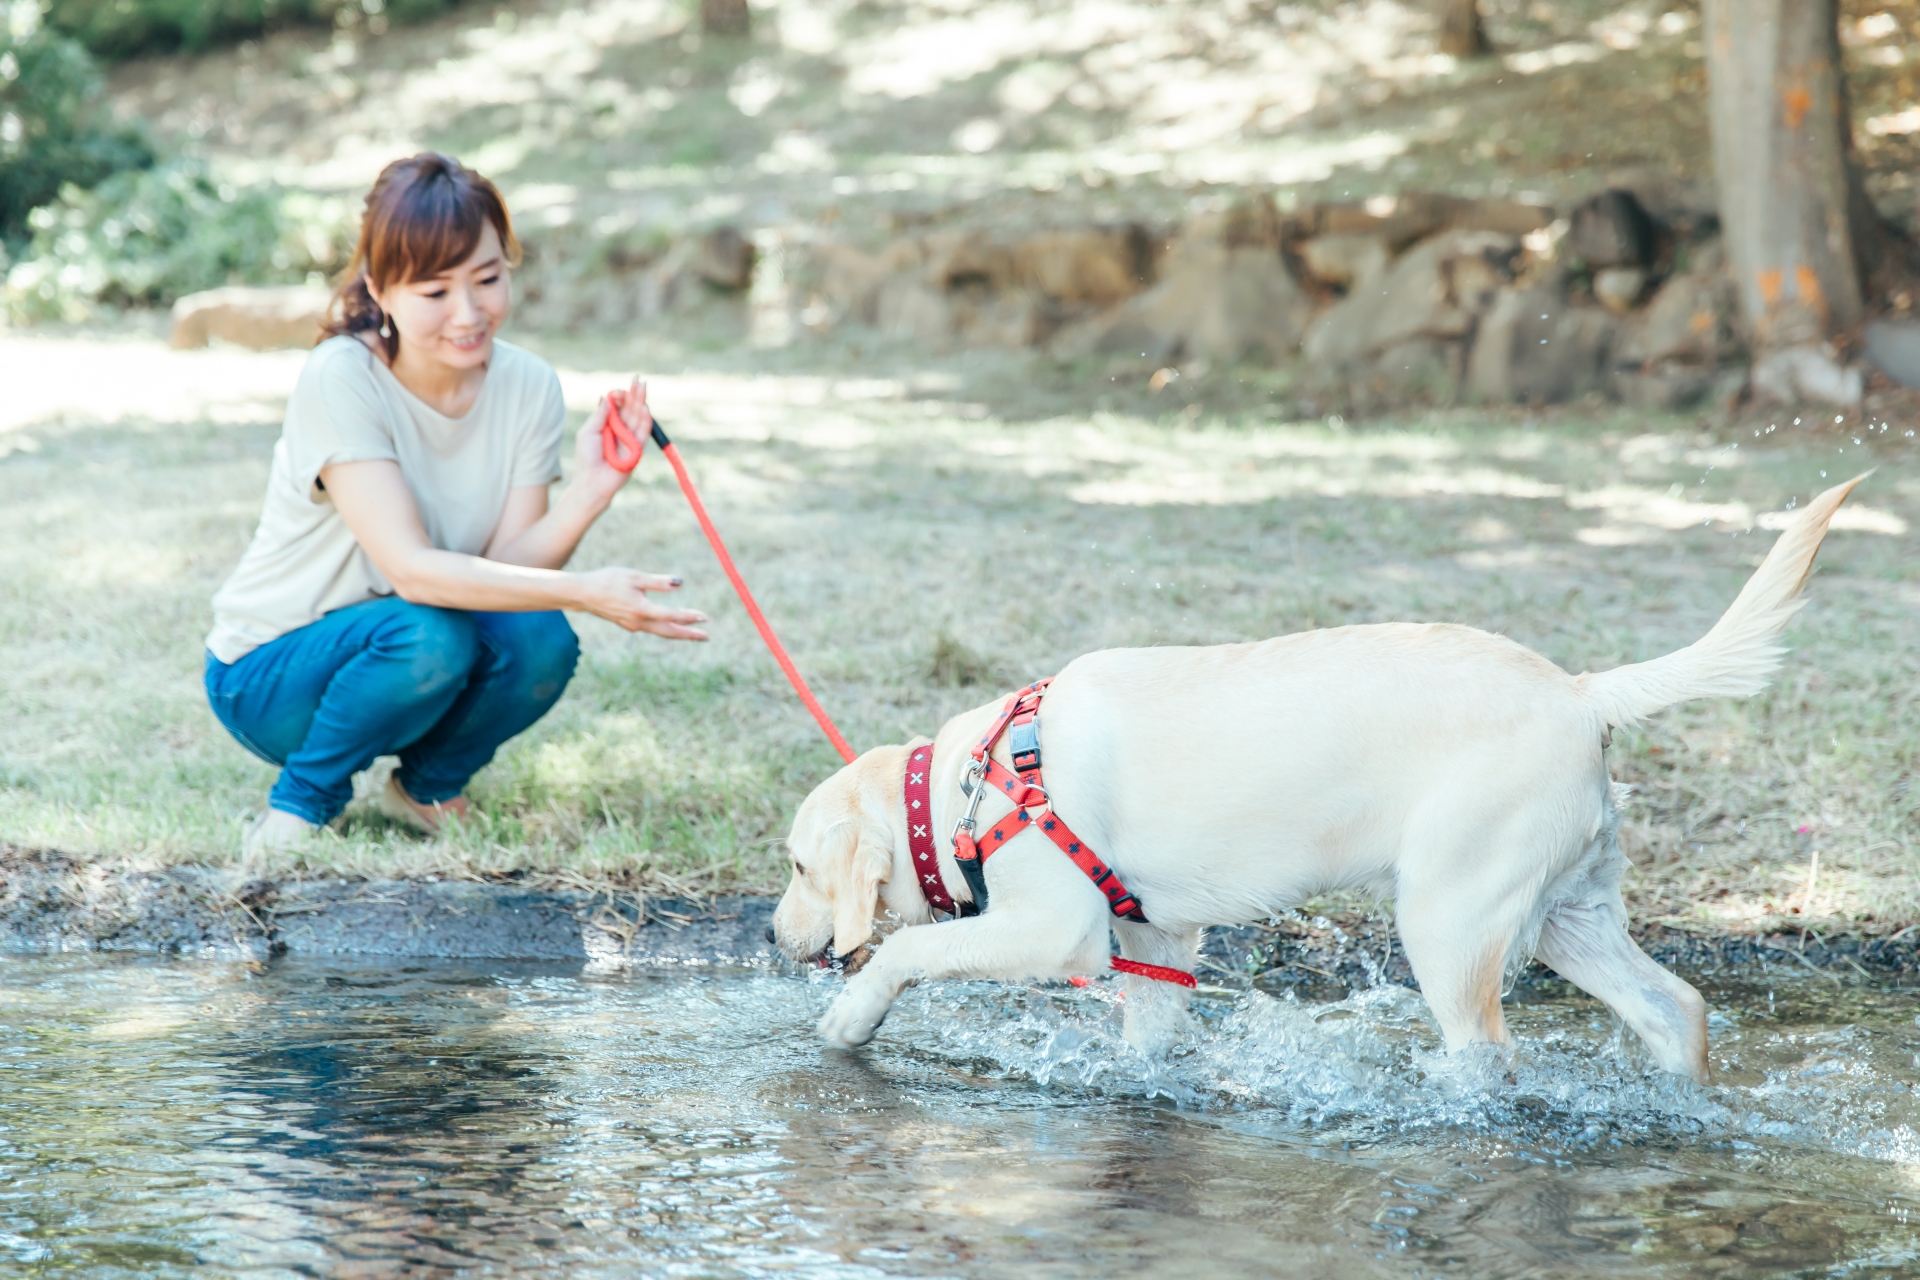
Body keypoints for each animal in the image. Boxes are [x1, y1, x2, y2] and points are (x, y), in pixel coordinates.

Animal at [771, 477, 1866, 1082]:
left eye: (793, 867)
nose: (770, 934)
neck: (972, 786)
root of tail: (1579, 691)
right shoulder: (1155, 940)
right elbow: (1147, 1038)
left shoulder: (1056, 926)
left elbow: (908, 954)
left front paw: (849, 1019)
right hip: (1568, 912)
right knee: (1676, 1006)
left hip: (1451, 916)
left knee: (1486, 1051)